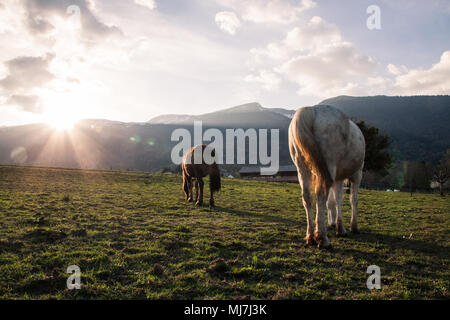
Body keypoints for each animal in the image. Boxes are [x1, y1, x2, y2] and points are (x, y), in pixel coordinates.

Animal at [288, 106, 366, 249]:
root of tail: (311, 110)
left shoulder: (338, 178)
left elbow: (335, 200)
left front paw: (338, 225)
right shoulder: (357, 174)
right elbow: (352, 199)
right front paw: (352, 226)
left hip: (302, 169)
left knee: (307, 197)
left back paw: (311, 237)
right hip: (330, 168)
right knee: (321, 195)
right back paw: (322, 238)